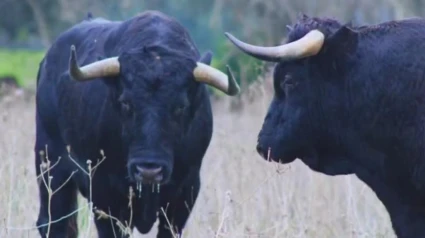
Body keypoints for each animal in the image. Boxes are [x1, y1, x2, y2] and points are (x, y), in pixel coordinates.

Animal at [34, 11, 240, 238]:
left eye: (180, 106)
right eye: (126, 102)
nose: (149, 170)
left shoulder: (186, 191)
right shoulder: (104, 194)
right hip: (51, 165)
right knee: (53, 223)